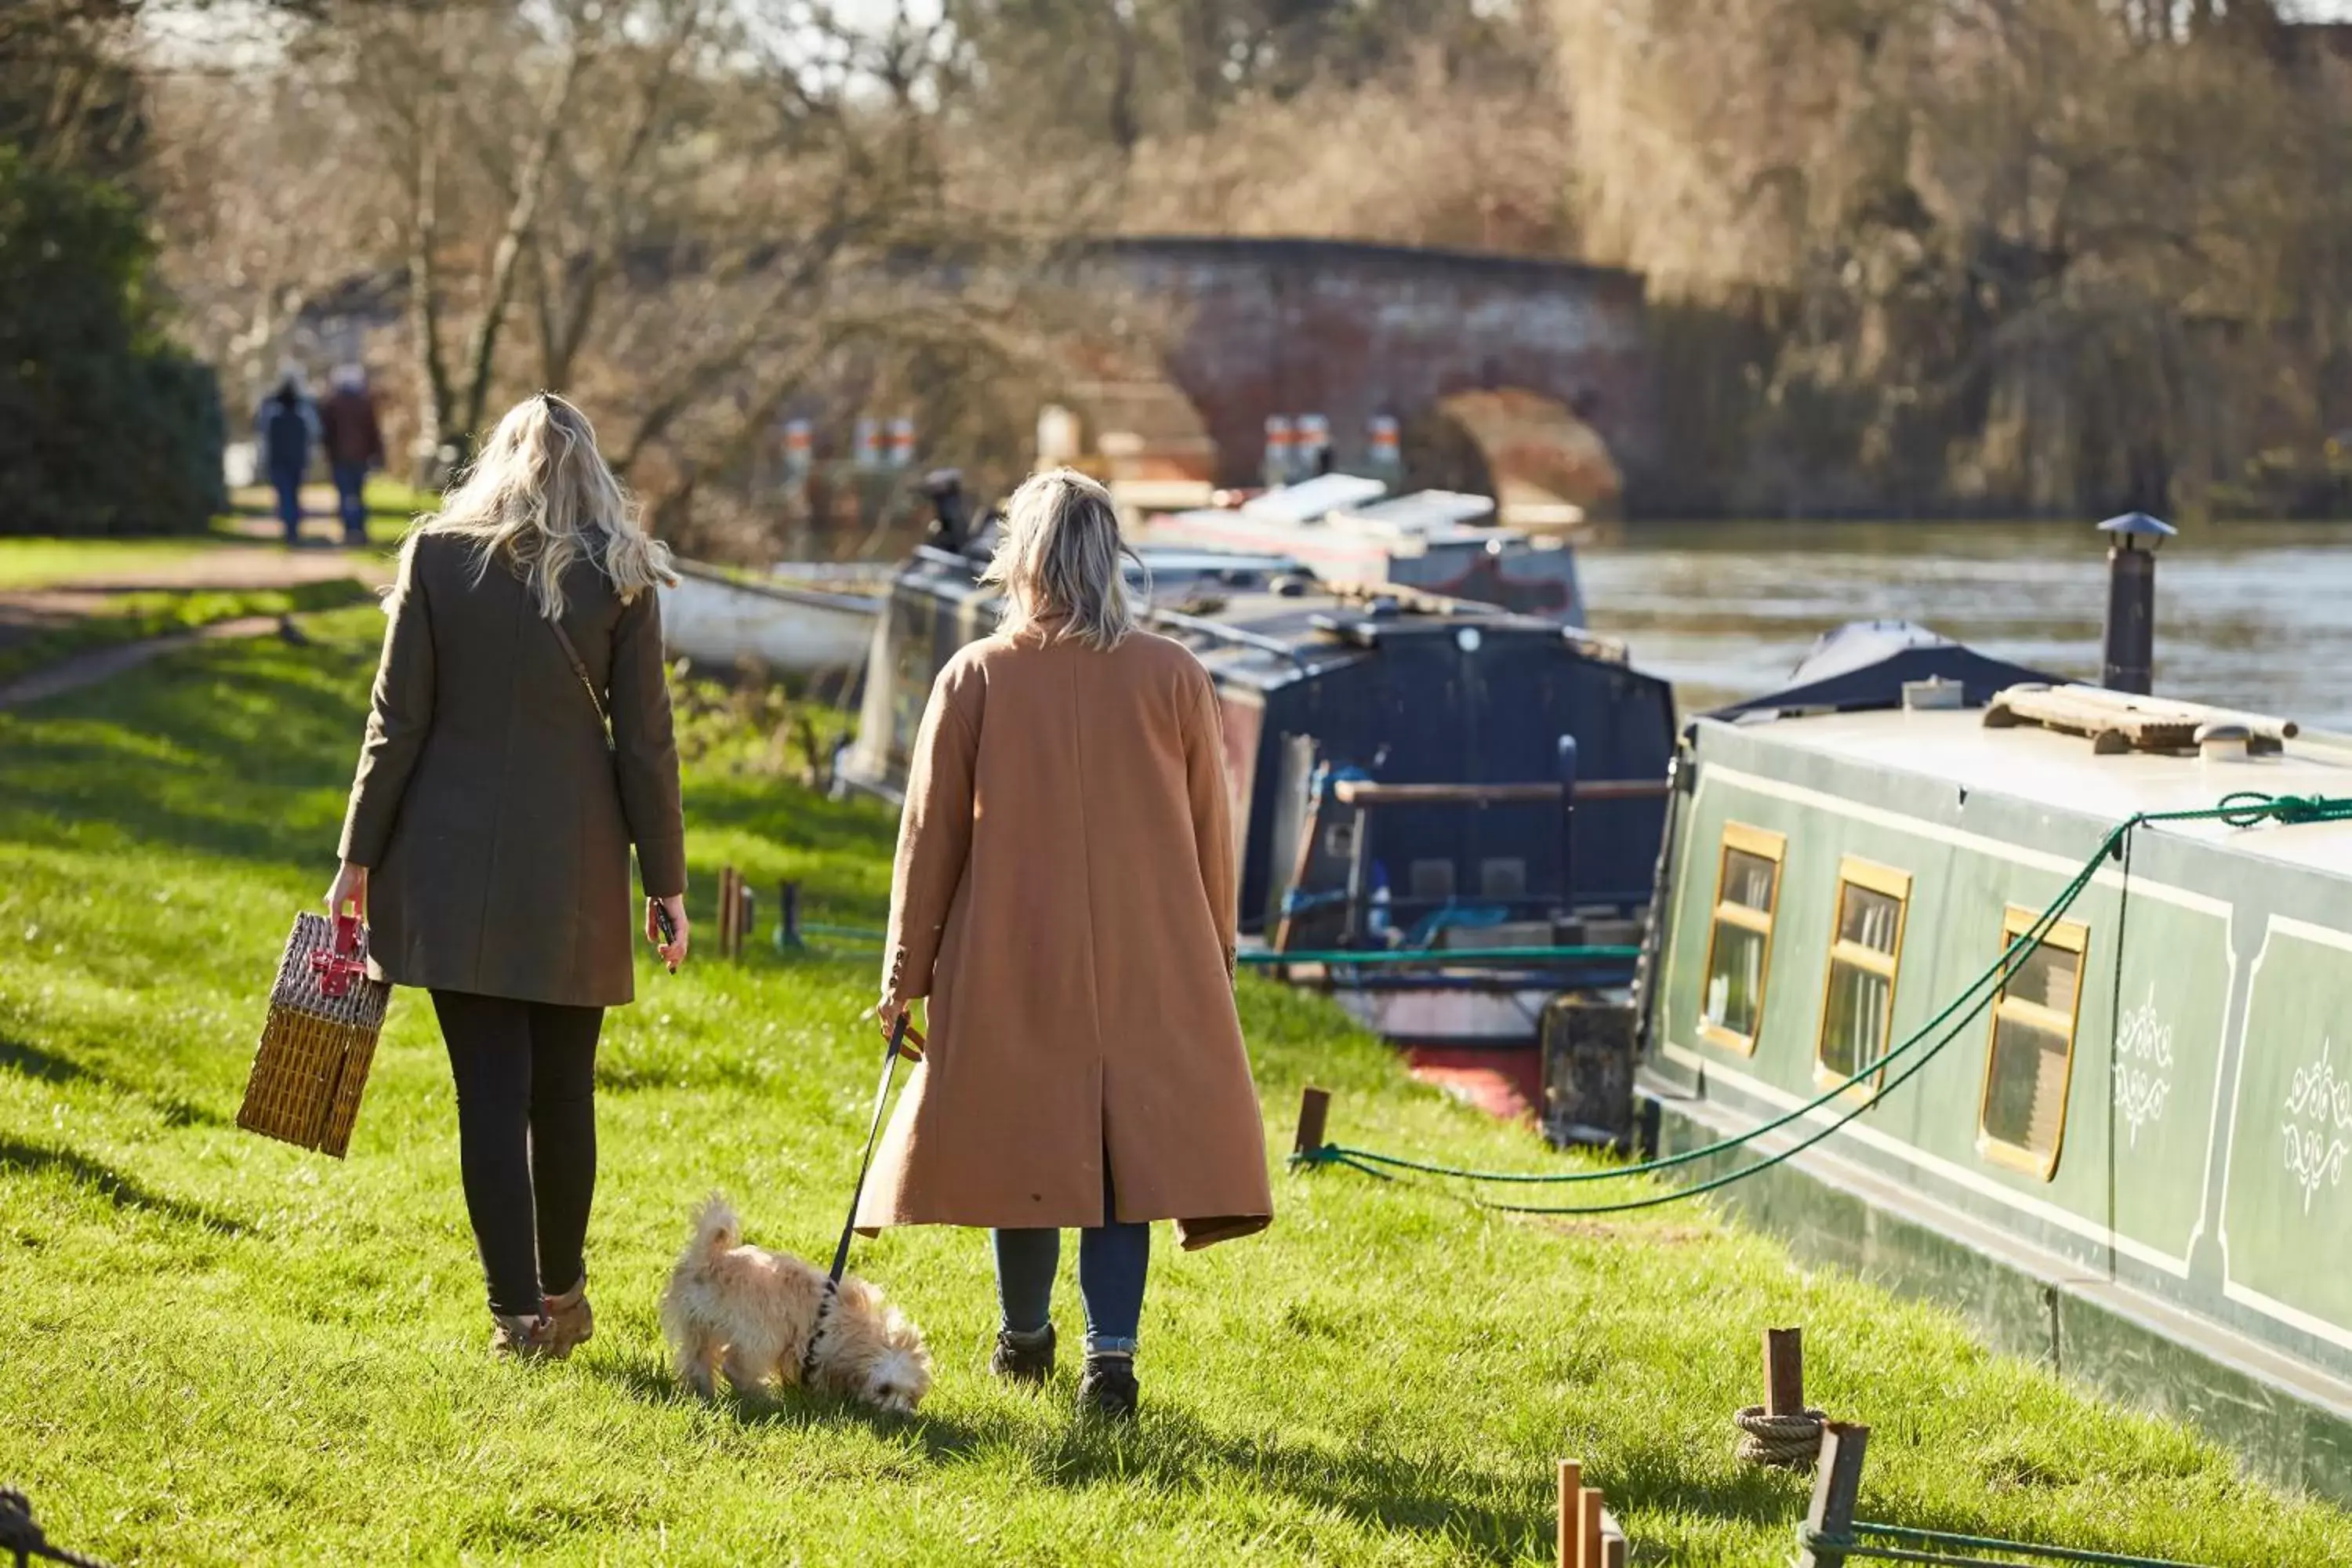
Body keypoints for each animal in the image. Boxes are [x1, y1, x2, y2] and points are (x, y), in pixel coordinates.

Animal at [659, 1194, 931, 1420]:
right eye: (883, 1390)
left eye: (911, 1394)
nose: (901, 1415)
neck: (863, 1332)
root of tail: (709, 1261)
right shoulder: (816, 1349)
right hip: (761, 1333)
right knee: (734, 1368)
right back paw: (761, 1397)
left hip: (696, 1326)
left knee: (698, 1361)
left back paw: (704, 1392)